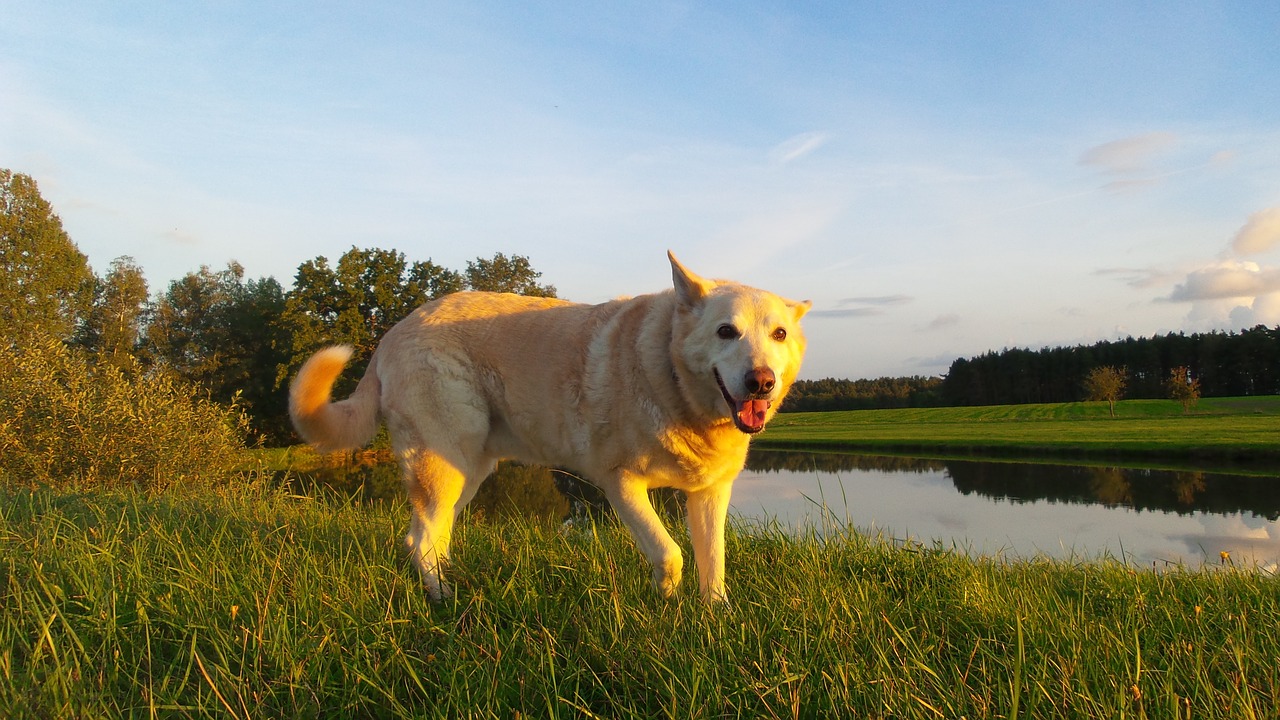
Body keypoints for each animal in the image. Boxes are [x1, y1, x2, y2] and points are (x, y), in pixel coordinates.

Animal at [291, 252, 808, 599]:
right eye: (726, 331)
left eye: (779, 334)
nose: (761, 382)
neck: (674, 382)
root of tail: (392, 331)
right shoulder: (619, 484)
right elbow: (670, 554)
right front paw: (665, 605)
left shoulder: (709, 494)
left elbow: (712, 563)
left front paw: (712, 619)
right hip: (444, 465)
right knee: (420, 541)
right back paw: (445, 603)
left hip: (469, 470)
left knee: (430, 536)